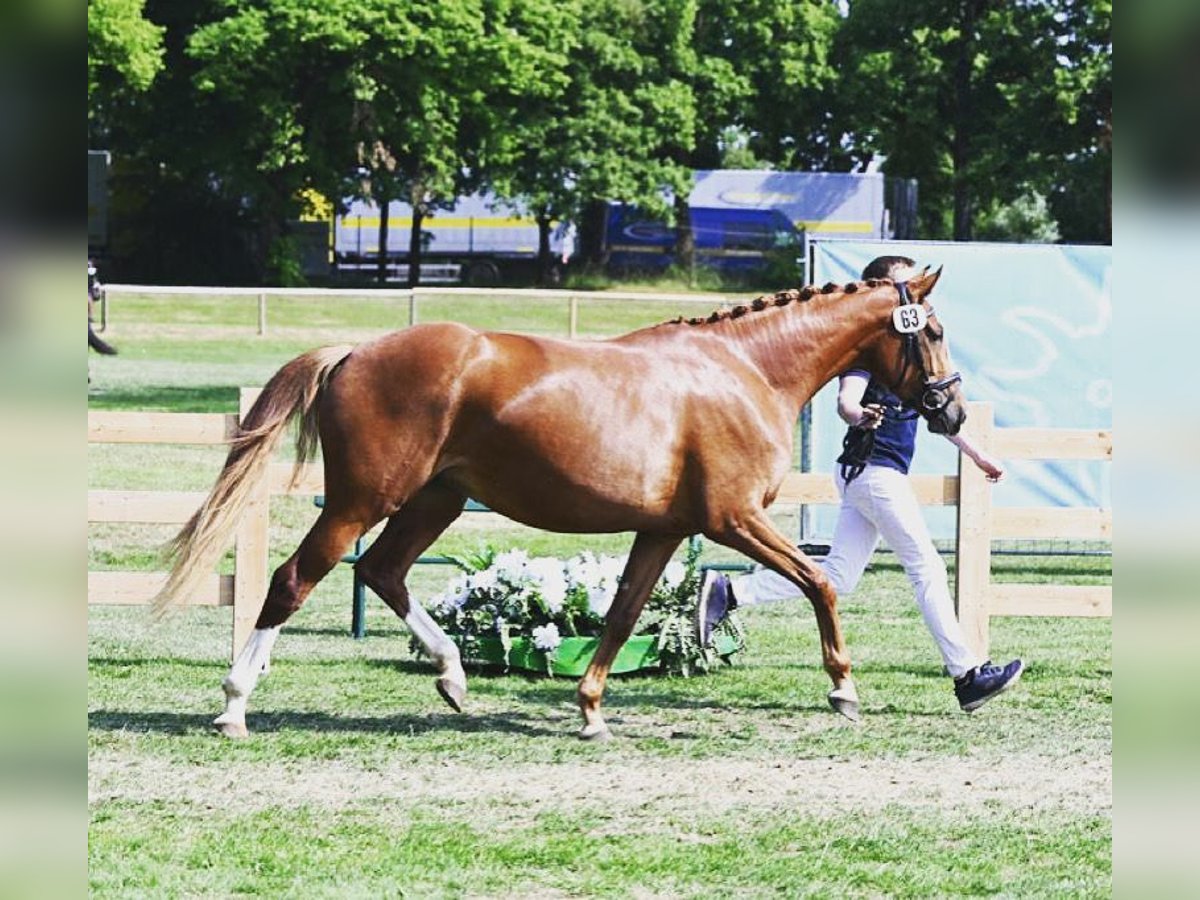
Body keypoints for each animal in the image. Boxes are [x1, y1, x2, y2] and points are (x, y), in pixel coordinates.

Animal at [157, 267, 964, 739]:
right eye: (935, 331)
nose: (951, 411)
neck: (746, 370)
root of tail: (352, 353)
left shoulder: (664, 531)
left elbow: (623, 614)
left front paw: (591, 711)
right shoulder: (734, 518)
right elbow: (821, 582)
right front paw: (844, 690)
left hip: (435, 501)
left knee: (381, 571)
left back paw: (452, 677)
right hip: (363, 499)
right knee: (296, 578)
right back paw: (234, 705)